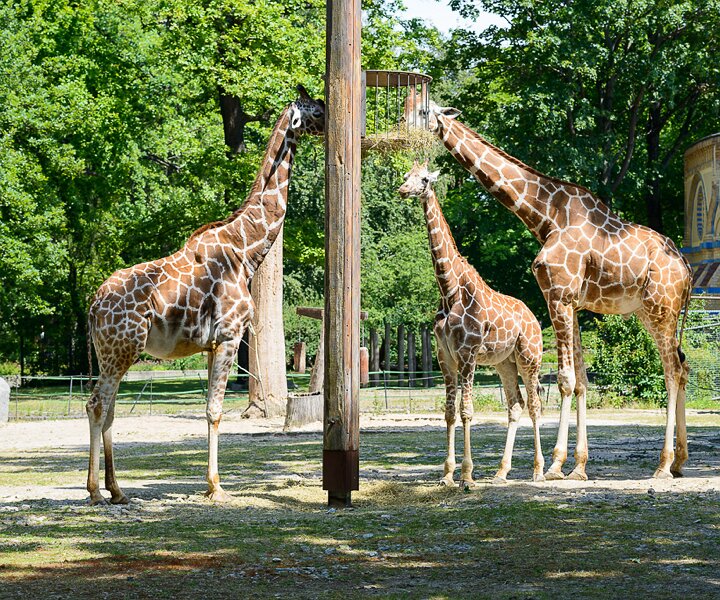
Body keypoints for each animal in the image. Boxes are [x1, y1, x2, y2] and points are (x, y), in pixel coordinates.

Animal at [85, 86, 324, 505]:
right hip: (122, 349)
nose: (331, 121)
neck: (246, 251)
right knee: (97, 405)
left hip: (111, 352)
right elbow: (215, 410)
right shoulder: (230, 335)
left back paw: (117, 490)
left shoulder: (213, 343)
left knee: (107, 408)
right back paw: (97, 491)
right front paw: (216, 486)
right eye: (314, 110)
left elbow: (209, 409)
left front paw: (210, 484)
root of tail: (94, 305)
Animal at [399, 161, 545, 485]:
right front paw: (446, 475)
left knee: (534, 405)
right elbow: (449, 412)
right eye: (405, 176)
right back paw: (501, 472)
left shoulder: (467, 353)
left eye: (424, 179)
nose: (402, 190)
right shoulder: (444, 356)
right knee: (515, 405)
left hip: (530, 357)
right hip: (505, 362)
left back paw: (538, 471)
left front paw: (467, 476)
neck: (449, 290)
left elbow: (466, 411)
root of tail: (534, 319)